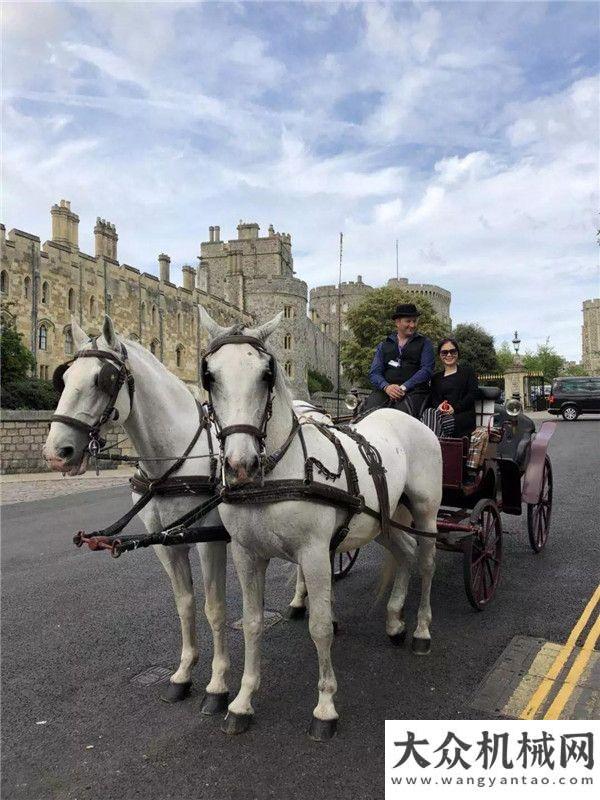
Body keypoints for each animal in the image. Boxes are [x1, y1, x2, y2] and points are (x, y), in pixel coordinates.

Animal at [42, 318, 230, 712]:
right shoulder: (165, 542)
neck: (174, 457)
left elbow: (215, 608)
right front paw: (183, 674)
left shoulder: (209, 539)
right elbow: (185, 604)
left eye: (103, 379)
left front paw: (218, 686)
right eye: (63, 379)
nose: (55, 453)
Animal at [199, 308, 442, 744]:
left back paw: (420, 630)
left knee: (427, 562)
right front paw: (242, 700)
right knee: (406, 553)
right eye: (209, 375)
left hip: (426, 511)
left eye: (267, 374)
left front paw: (325, 706)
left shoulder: (313, 554)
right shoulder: (246, 554)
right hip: (384, 521)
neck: (279, 472)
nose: (241, 466)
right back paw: (395, 618)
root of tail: (405, 417)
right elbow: (252, 623)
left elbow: (320, 626)